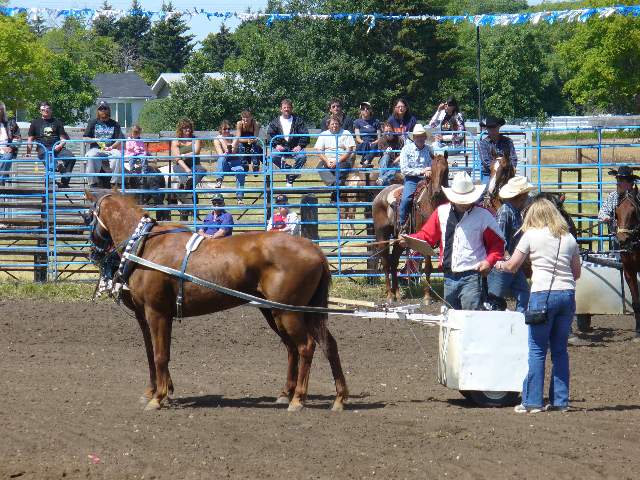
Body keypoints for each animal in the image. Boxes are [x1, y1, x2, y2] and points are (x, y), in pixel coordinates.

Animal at [84, 189, 348, 410]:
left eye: (87, 216)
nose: (93, 253)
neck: (144, 245)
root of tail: (315, 251)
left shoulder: (157, 312)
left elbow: (160, 355)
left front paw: (159, 397)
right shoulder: (144, 314)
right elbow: (151, 353)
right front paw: (157, 392)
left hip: (289, 311)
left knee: (305, 347)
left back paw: (297, 399)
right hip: (287, 311)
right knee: (322, 345)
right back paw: (335, 397)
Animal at [370, 154, 450, 304]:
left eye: (445, 170)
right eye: (432, 170)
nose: (437, 192)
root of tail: (380, 195)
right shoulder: (426, 241)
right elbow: (428, 267)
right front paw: (427, 297)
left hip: (400, 240)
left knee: (394, 260)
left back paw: (397, 294)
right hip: (382, 234)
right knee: (385, 261)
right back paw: (390, 295)